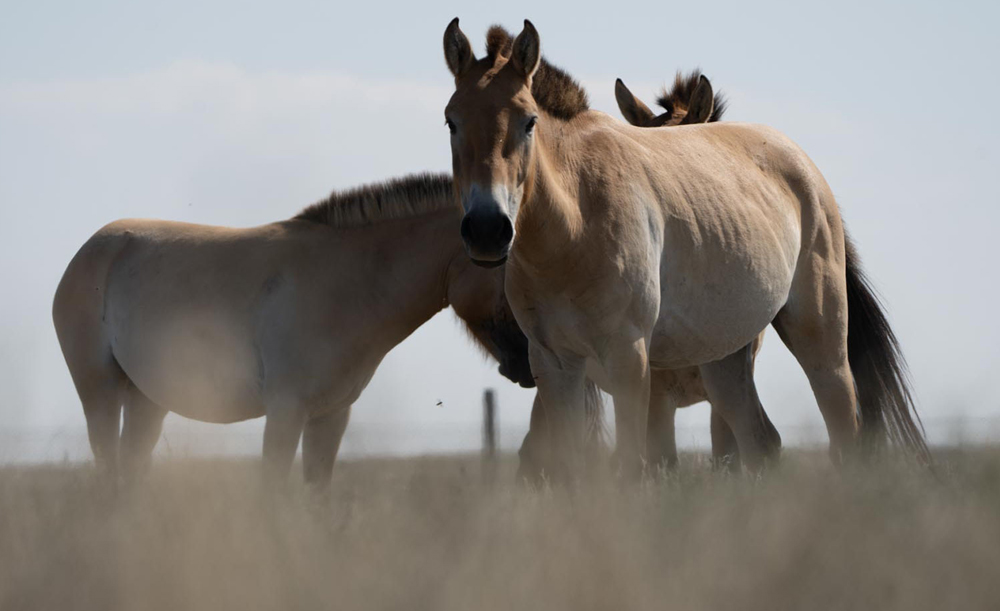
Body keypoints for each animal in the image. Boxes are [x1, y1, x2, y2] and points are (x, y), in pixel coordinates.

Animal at [442, 20, 924, 478]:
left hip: (821, 340)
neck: (573, 227)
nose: (487, 230)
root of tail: (807, 170)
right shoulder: (555, 366)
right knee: (760, 442)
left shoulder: (630, 360)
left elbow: (636, 466)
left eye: (529, 121)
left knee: (842, 433)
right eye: (451, 121)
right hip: (725, 358)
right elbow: (569, 469)